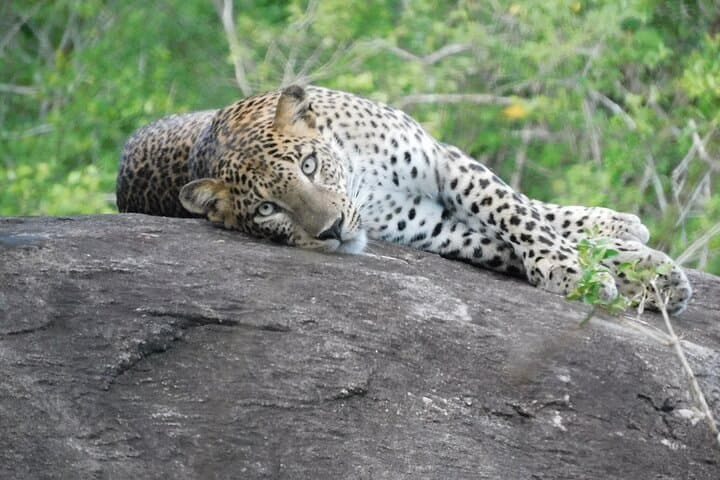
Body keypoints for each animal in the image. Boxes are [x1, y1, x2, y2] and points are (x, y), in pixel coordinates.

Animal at [117, 85, 693, 314]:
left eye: (308, 165)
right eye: (266, 209)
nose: (332, 230)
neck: (360, 178)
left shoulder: (443, 164)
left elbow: (517, 213)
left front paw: (581, 268)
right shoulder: (430, 225)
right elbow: (501, 243)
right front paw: (627, 278)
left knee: (536, 206)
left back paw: (619, 224)